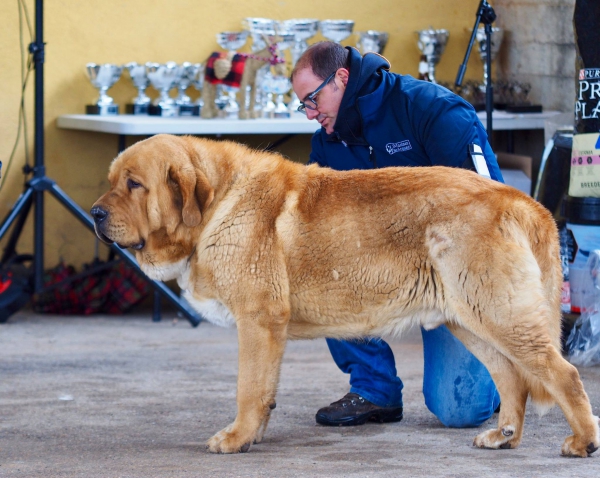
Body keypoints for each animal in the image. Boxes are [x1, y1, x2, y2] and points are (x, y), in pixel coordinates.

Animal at [91, 134, 596, 456]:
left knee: (563, 373)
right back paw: (504, 436)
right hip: (469, 319)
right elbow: (264, 390)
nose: (94, 213)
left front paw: (237, 438)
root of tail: (521, 201)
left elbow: (248, 389)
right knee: (512, 379)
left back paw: (582, 441)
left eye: (134, 184)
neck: (218, 205)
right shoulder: (267, 331)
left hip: (500, 316)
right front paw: (255, 435)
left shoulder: (258, 322)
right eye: (112, 180)